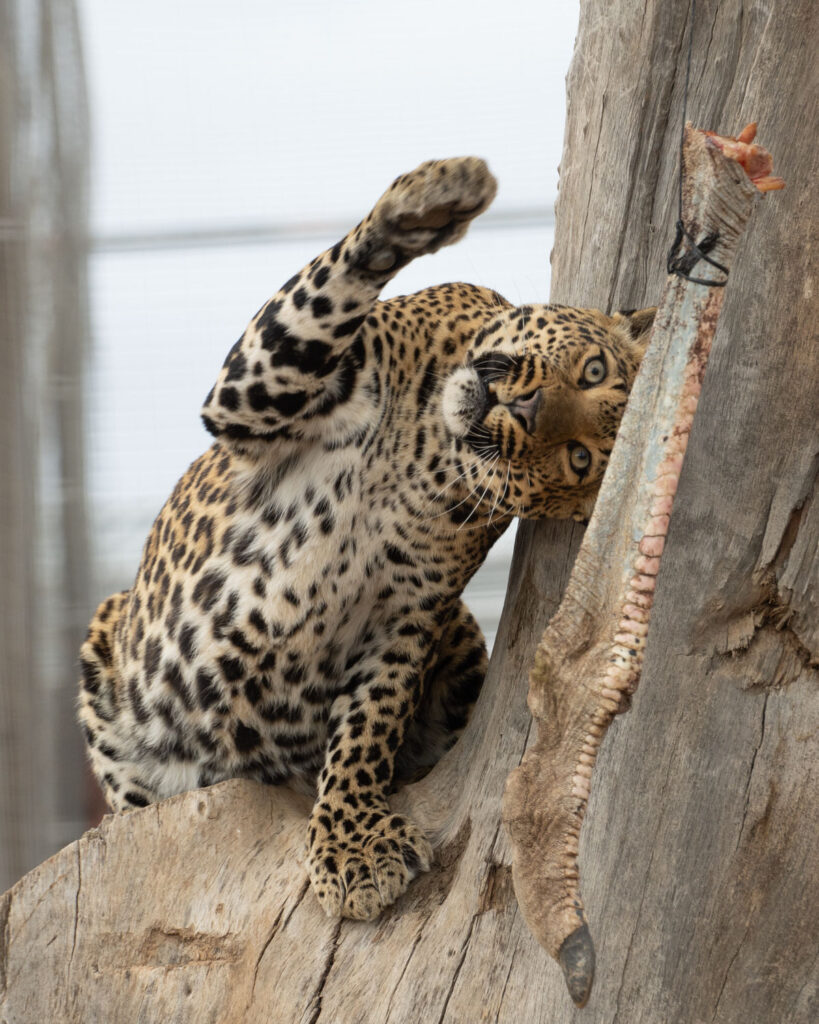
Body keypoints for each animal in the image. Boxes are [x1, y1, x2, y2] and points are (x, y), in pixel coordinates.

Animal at [76, 157, 651, 921]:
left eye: (579, 458)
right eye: (591, 370)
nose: (527, 408)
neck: (423, 448)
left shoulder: (405, 616)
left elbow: (367, 726)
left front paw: (353, 846)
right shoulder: (251, 398)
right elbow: (322, 293)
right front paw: (433, 199)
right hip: (110, 638)